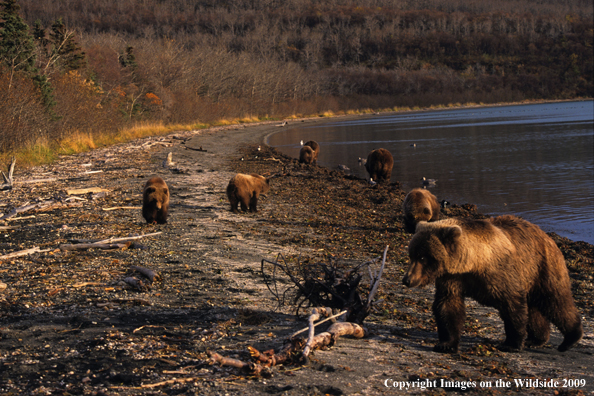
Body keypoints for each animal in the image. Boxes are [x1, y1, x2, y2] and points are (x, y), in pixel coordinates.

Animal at [400, 215, 580, 354]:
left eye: (423, 257)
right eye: (412, 254)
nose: (407, 280)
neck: (473, 262)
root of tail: (548, 237)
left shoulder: (499, 273)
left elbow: (512, 304)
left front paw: (511, 344)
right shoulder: (452, 277)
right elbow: (448, 305)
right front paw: (446, 345)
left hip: (542, 266)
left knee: (555, 300)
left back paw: (570, 339)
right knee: (535, 308)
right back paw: (536, 339)